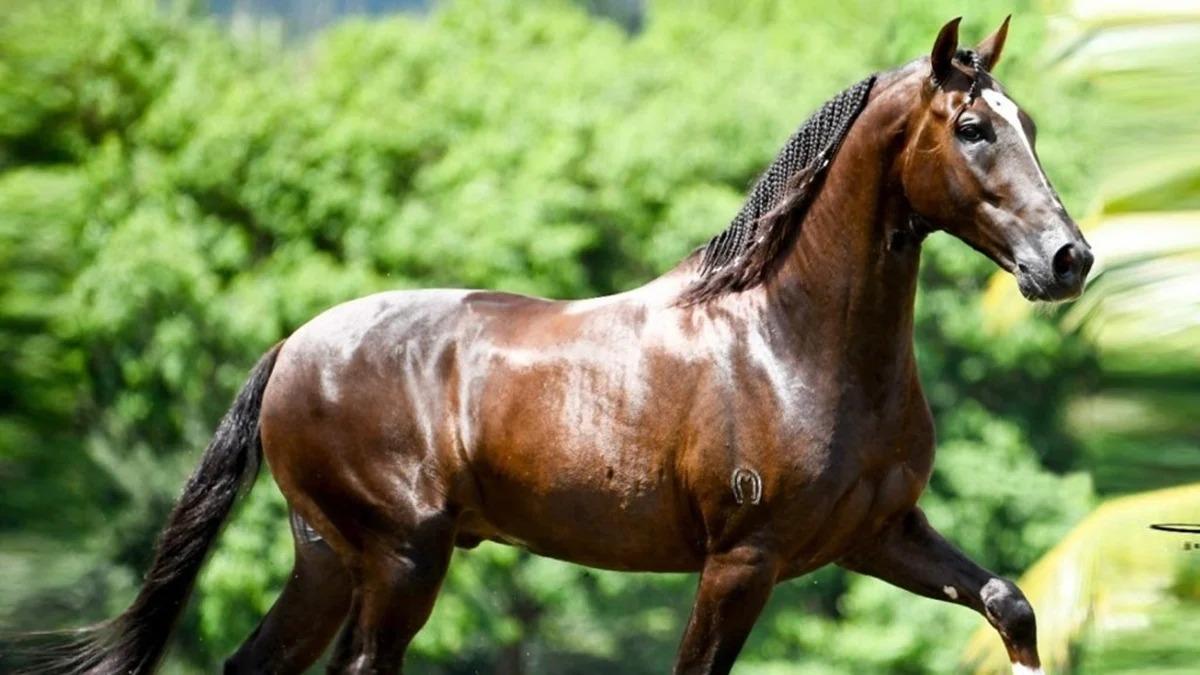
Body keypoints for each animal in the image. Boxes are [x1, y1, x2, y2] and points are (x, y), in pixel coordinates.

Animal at [49, 16, 1092, 675]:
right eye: (972, 127)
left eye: (1033, 125)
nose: (1068, 259)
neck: (785, 344)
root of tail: (293, 347)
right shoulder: (742, 562)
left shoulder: (879, 535)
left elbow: (1010, 603)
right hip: (400, 559)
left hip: (329, 559)